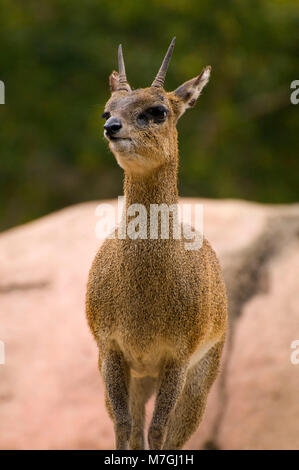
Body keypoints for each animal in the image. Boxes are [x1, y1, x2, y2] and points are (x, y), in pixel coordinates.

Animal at [85, 38, 229, 450]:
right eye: (107, 109)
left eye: (158, 111)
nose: (111, 128)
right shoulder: (111, 350)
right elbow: (123, 425)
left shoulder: (177, 359)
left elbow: (158, 430)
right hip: (135, 374)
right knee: (133, 426)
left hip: (200, 378)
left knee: (174, 433)